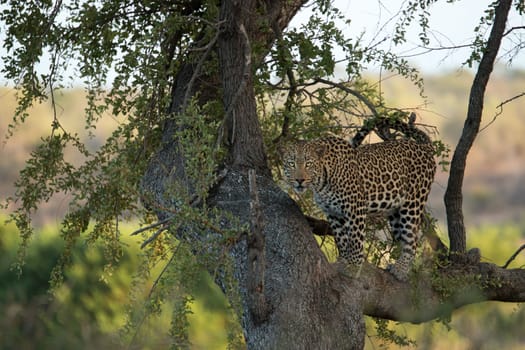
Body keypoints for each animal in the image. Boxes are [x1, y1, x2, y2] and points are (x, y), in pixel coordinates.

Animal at [280, 123, 436, 282]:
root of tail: (422, 146)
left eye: (308, 164)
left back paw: (401, 270)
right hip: (394, 212)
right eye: (291, 164)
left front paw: (354, 266)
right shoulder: (332, 213)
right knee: (402, 237)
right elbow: (341, 238)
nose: (300, 180)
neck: (320, 183)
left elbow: (355, 238)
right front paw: (343, 260)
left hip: (412, 204)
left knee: (412, 239)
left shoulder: (355, 208)